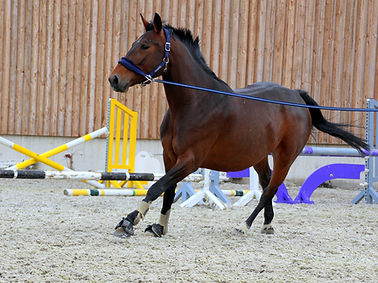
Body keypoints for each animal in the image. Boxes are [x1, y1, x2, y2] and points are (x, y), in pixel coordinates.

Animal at [108, 13, 368, 240]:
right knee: (267, 183)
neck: (195, 102)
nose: (114, 79)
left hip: (286, 157)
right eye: (135, 43)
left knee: (270, 189)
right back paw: (267, 224)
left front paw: (129, 221)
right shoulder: (169, 156)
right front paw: (159, 227)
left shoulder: (190, 160)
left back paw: (245, 225)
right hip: (259, 156)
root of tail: (296, 96)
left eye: (145, 46)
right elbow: (168, 191)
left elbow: (156, 187)